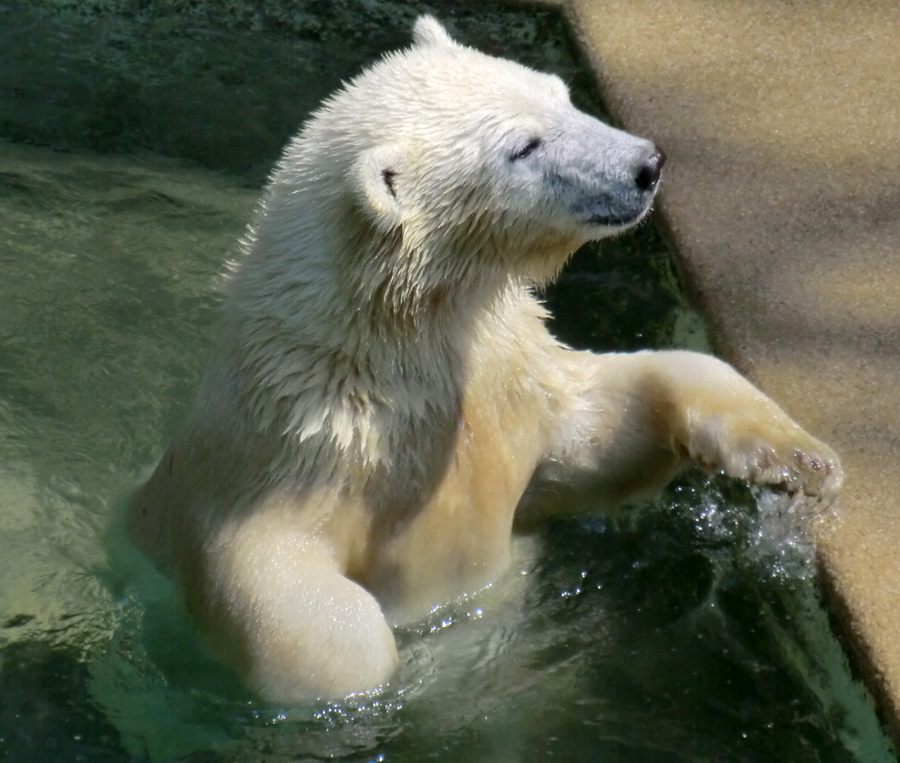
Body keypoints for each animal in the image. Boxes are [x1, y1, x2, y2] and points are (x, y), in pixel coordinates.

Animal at [128, 14, 844, 704]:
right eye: (523, 147)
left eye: (559, 94)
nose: (648, 163)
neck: (389, 346)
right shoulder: (295, 456)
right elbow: (287, 596)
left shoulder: (512, 383)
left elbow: (606, 430)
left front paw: (798, 458)